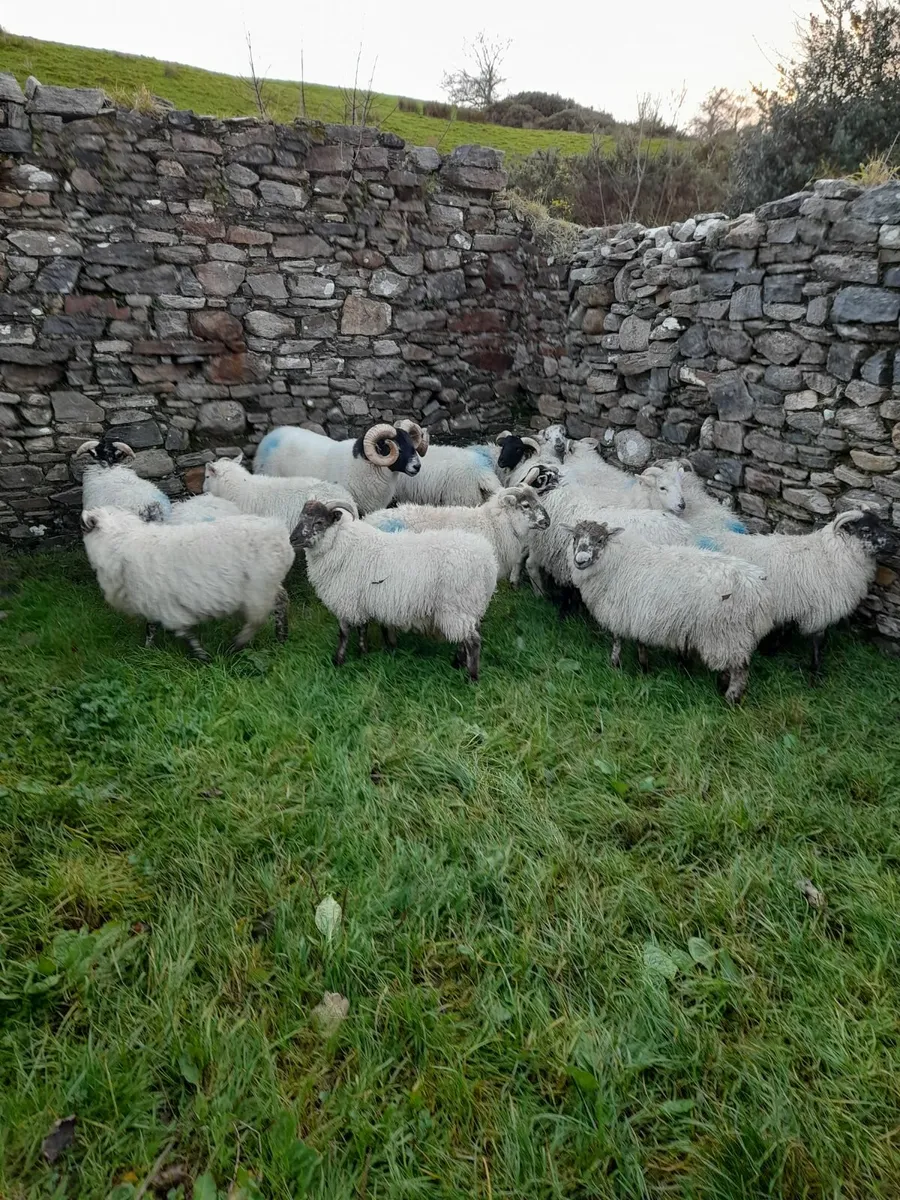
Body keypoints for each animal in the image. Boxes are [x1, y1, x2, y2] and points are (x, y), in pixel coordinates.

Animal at [81, 506, 294, 660]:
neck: (118, 542)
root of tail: (280, 534)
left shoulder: (165, 604)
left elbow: (183, 632)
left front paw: (202, 656)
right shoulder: (155, 601)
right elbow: (152, 627)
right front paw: (147, 651)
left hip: (259, 588)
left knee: (259, 618)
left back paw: (237, 644)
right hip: (268, 586)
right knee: (282, 601)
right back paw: (281, 638)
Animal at [291, 499, 498, 681]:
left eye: (319, 522)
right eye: (301, 517)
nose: (292, 538)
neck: (340, 543)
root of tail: (488, 560)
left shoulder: (347, 601)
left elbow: (345, 634)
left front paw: (339, 660)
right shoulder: (360, 601)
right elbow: (363, 629)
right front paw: (364, 654)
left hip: (457, 606)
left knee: (473, 642)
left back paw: (471, 678)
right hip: (469, 607)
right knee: (468, 636)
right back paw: (458, 663)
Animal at [569, 520, 773, 705]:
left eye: (600, 540)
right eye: (575, 538)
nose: (580, 560)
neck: (616, 559)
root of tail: (758, 591)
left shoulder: (618, 614)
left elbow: (617, 642)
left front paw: (615, 666)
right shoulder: (639, 616)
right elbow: (641, 644)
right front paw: (644, 668)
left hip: (727, 631)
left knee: (740, 669)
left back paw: (731, 698)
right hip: (732, 636)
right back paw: (722, 684)